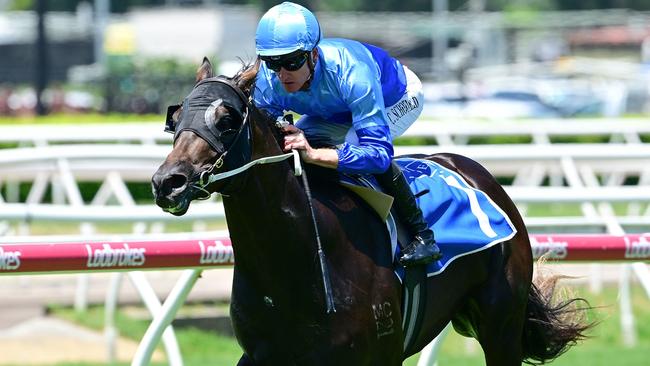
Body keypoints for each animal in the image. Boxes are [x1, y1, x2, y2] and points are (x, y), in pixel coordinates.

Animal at [152, 58, 592, 364]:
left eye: (226, 118)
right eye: (176, 117)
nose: (167, 182)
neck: (298, 263)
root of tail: (477, 173)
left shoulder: (377, 355)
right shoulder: (264, 355)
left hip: (501, 327)